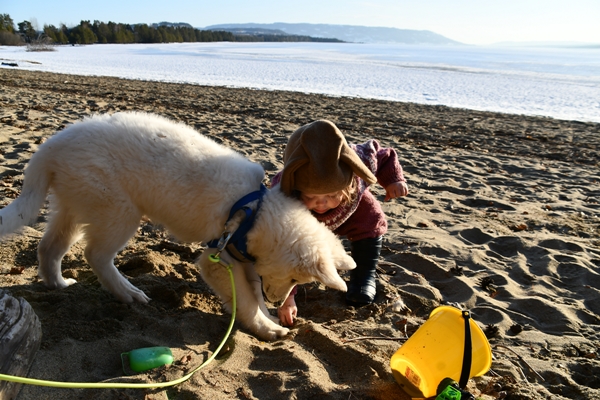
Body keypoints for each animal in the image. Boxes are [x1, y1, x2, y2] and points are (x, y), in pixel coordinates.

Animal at [0, 112, 356, 340]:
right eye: (296, 278)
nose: (277, 302)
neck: (255, 210)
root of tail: (52, 146)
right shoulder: (218, 257)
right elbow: (245, 297)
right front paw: (265, 325)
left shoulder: (240, 257)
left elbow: (252, 290)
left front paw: (266, 318)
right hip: (117, 210)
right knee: (96, 255)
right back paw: (127, 292)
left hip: (75, 204)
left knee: (49, 247)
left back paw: (57, 283)